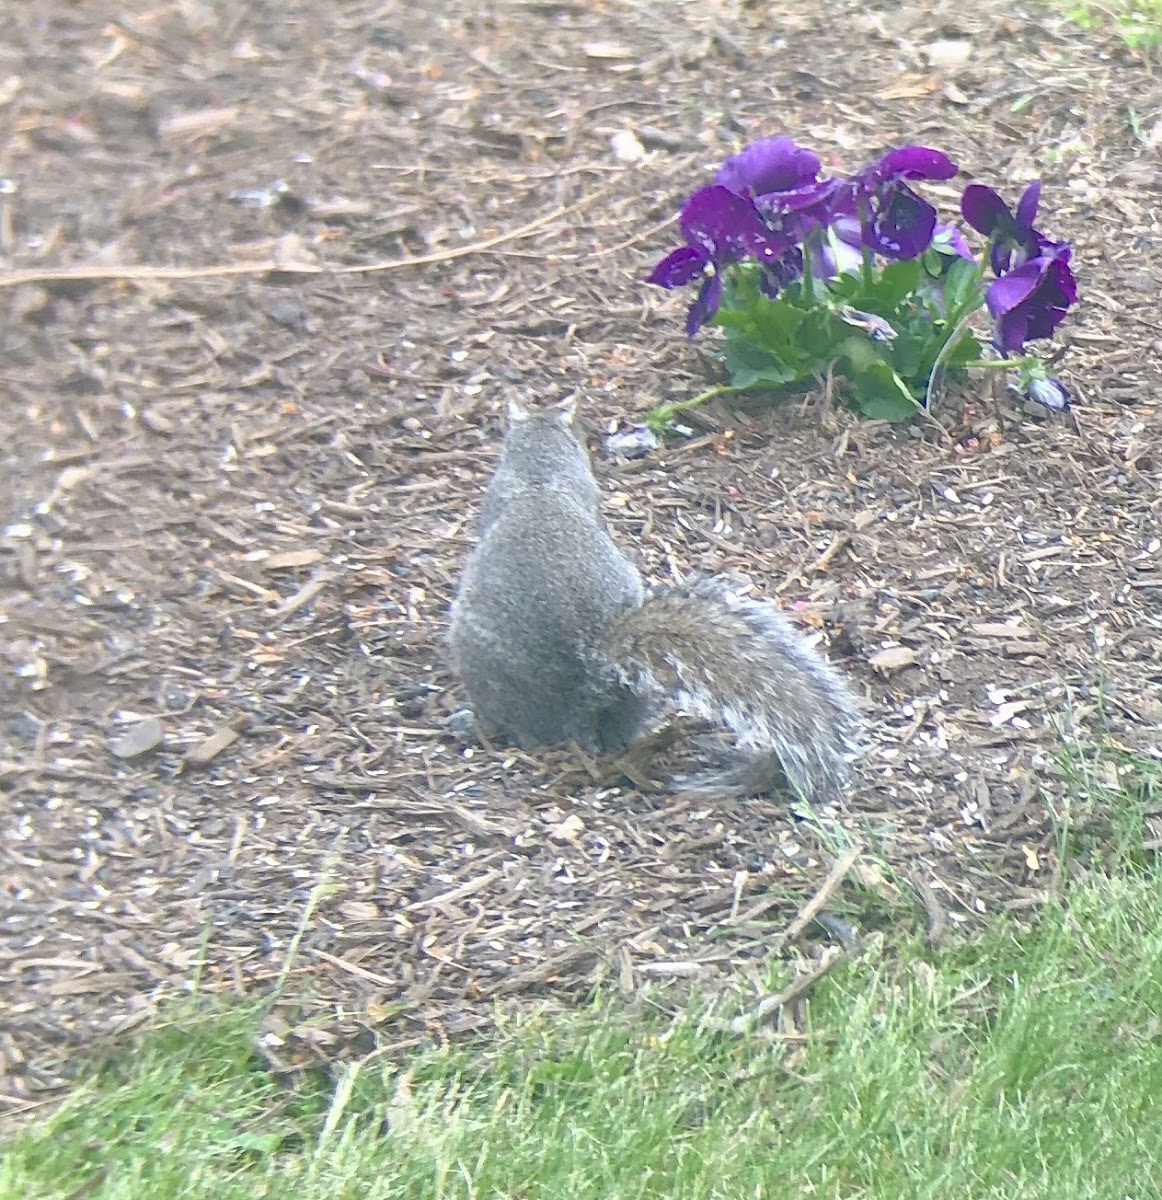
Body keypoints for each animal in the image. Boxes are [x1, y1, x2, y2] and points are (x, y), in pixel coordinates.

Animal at [444, 398, 864, 801]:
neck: (540, 477)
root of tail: (587, 674)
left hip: (479, 660)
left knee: (511, 725)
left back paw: (472, 722)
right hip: (634, 696)